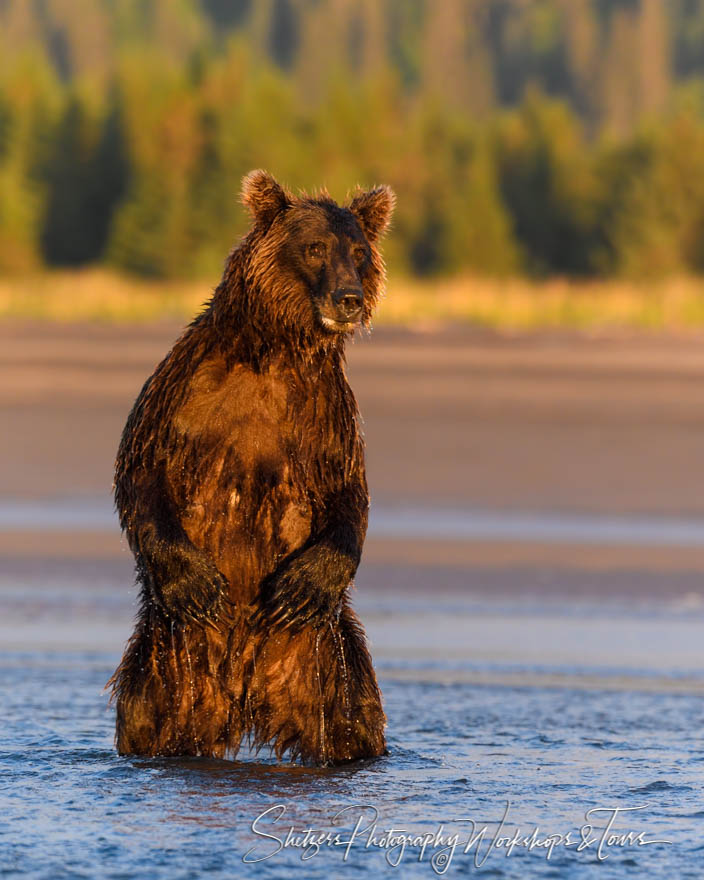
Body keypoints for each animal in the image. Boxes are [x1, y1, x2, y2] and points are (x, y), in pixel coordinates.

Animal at [110, 170, 396, 764]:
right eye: (315, 247)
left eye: (359, 252)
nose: (350, 298)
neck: (276, 351)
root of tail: (243, 697)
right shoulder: (183, 394)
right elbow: (142, 472)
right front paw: (196, 584)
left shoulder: (326, 415)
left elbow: (348, 493)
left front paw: (303, 586)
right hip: (166, 661)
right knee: (145, 718)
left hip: (328, 659)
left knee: (356, 721)